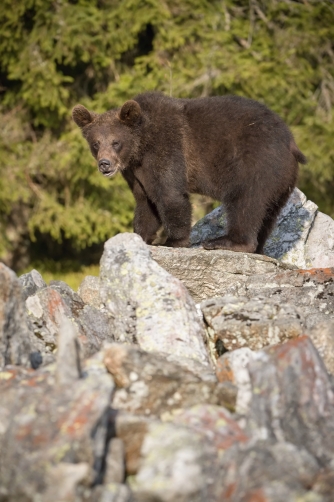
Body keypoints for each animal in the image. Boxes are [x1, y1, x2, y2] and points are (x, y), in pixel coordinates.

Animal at [72, 91, 306, 253]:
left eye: (116, 142)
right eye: (95, 143)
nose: (105, 164)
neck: (140, 147)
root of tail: (291, 141)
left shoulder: (166, 150)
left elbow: (170, 195)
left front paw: (172, 241)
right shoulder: (135, 173)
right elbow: (145, 203)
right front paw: (139, 236)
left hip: (256, 163)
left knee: (245, 201)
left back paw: (225, 241)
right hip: (282, 180)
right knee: (269, 212)